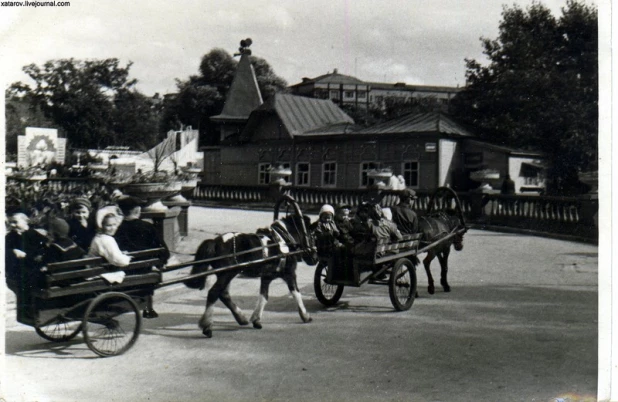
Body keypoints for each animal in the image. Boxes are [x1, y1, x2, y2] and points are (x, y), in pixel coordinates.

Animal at [183, 196, 318, 338]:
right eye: (312, 234)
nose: (315, 258)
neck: (284, 240)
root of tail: (216, 241)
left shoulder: (266, 277)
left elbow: (264, 296)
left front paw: (256, 319)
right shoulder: (290, 274)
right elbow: (296, 293)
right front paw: (305, 316)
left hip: (225, 274)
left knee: (224, 294)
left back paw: (241, 318)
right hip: (228, 274)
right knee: (214, 293)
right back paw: (207, 325)